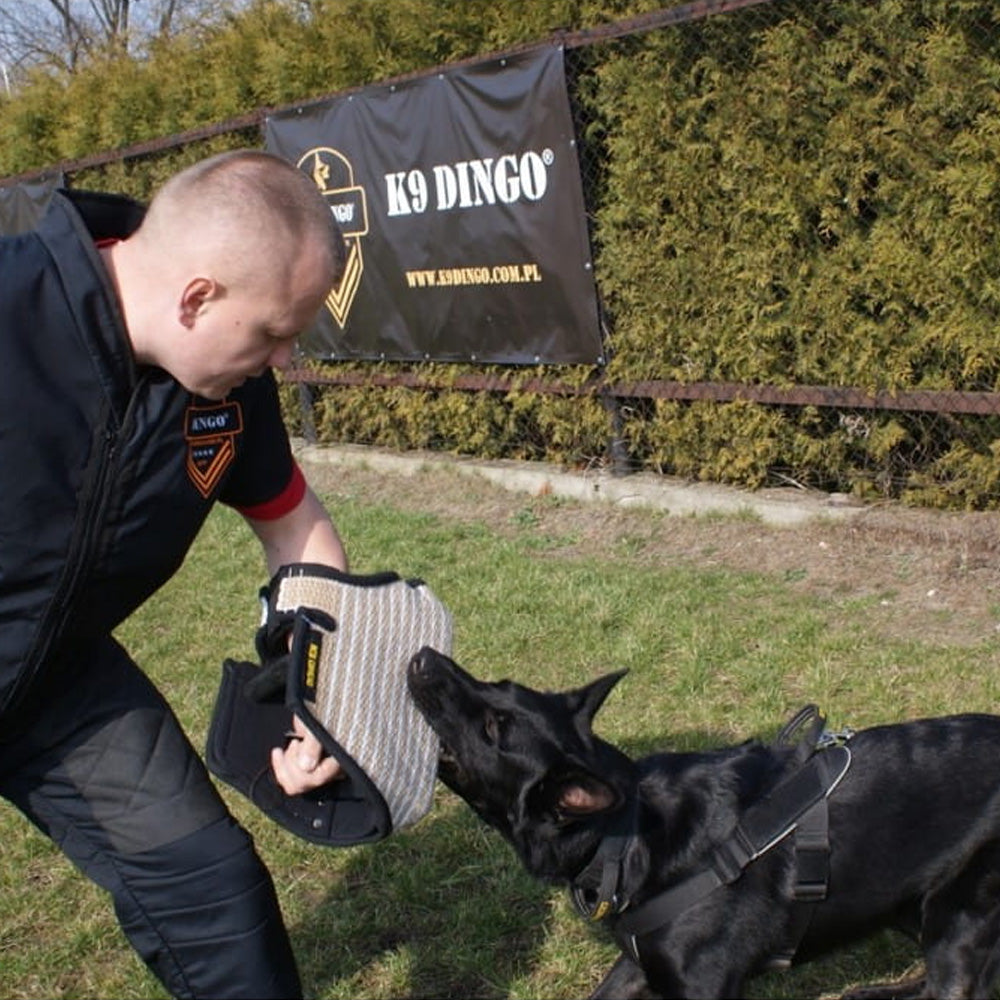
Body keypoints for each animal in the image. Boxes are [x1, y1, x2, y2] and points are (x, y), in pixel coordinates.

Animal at [408, 648, 1000, 1000]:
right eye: (495, 683)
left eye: (493, 728)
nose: (423, 657)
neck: (630, 835)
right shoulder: (639, 964)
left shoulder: (701, 986)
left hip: (956, 919)